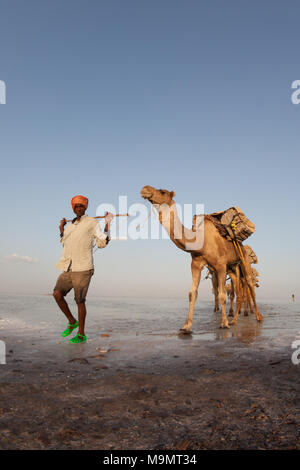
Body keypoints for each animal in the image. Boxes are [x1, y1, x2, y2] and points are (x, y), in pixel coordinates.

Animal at [141, 185, 262, 332]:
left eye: (162, 192)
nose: (145, 189)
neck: (201, 242)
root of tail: (242, 245)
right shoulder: (196, 264)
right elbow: (192, 293)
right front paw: (186, 326)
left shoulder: (220, 266)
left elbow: (222, 295)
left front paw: (224, 323)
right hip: (233, 268)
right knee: (238, 292)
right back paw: (234, 320)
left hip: (244, 261)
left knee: (250, 287)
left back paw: (257, 317)